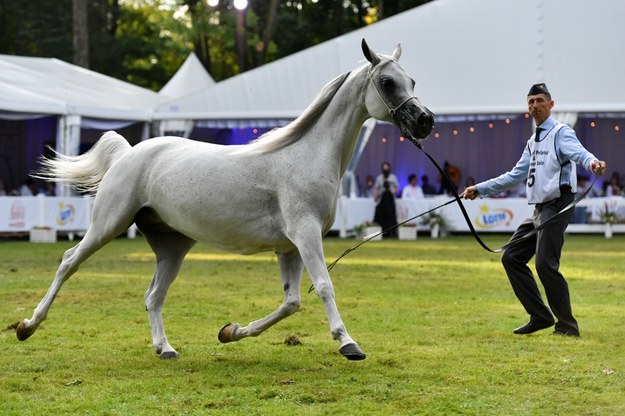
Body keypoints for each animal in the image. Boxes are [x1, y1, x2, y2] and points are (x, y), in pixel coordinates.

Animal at [17, 40, 432, 362]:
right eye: (387, 82)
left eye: (412, 80)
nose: (424, 121)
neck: (305, 155)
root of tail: (129, 153)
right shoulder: (306, 235)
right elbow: (324, 287)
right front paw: (348, 343)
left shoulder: (290, 248)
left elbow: (291, 302)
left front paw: (230, 331)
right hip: (107, 225)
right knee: (68, 262)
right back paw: (27, 326)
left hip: (172, 247)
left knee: (153, 296)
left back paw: (165, 348)